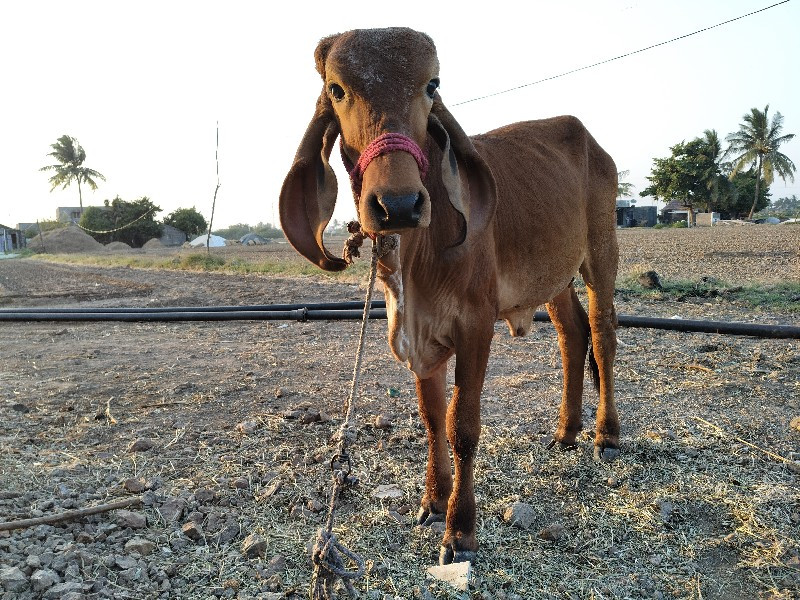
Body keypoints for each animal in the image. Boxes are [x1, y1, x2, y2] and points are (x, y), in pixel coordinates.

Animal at [278, 27, 620, 564]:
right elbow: (433, 418)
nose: (398, 204)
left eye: (431, 85)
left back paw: (606, 434)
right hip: (555, 279)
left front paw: (460, 530)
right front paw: (434, 501)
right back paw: (566, 431)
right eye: (337, 89)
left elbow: (463, 426)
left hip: (601, 253)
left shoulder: (475, 325)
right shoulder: (419, 336)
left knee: (603, 334)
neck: (415, 257)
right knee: (573, 334)